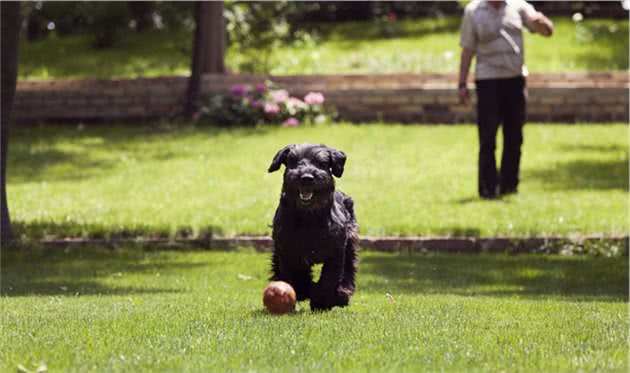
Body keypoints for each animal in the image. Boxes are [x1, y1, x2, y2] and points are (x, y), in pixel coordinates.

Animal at [268, 144, 360, 310]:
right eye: (293, 160)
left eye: (322, 163)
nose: (306, 178)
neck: (308, 217)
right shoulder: (287, 249)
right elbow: (295, 273)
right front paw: (304, 291)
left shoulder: (336, 250)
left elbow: (330, 276)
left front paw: (321, 300)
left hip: (350, 243)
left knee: (348, 268)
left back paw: (341, 294)